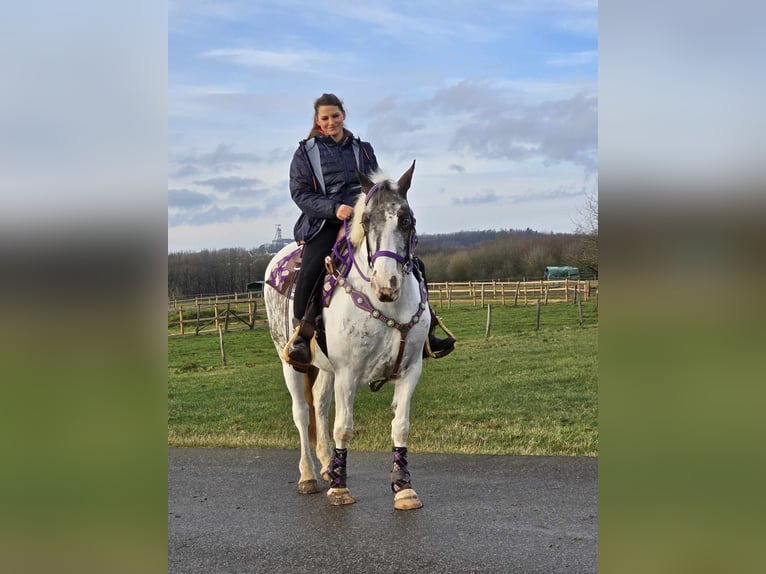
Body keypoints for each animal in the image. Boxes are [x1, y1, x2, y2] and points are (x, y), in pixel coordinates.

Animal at [264, 162, 428, 512]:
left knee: (320, 404)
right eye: (365, 220)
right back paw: (309, 475)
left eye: (405, 219)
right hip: (291, 362)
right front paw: (339, 489)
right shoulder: (348, 374)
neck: (386, 306)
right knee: (302, 414)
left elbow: (400, 426)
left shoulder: (410, 371)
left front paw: (404, 488)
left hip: (326, 369)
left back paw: (328, 465)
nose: (386, 283)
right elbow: (343, 428)